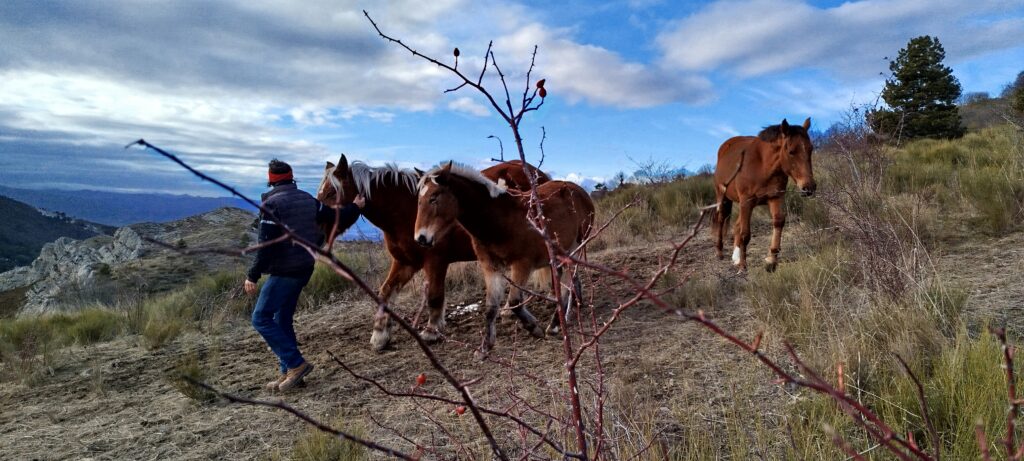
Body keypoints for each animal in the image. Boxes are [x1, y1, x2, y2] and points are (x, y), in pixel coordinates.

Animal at [316, 156, 549, 351]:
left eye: (331, 193)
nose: (317, 232)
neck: (404, 210)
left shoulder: (435, 261)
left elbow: (435, 296)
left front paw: (431, 331)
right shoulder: (404, 263)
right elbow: (385, 293)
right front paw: (380, 335)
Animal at [414, 162, 594, 358]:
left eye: (433, 198)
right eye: (419, 201)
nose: (421, 239)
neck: (500, 219)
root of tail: (579, 190)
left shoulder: (522, 264)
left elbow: (515, 302)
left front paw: (534, 328)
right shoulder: (491, 267)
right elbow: (490, 307)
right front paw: (485, 346)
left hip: (575, 248)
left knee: (568, 282)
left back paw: (555, 325)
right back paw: (561, 319)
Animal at [712, 118, 816, 272]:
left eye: (810, 149)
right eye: (791, 151)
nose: (809, 187)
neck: (763, 165)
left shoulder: (775, 198)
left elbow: (778, 221)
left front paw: (771, 260)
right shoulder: (747, 201)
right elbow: (745, 234)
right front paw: (743, 265)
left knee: (736, 225)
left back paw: (735, 257)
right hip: (723, 197)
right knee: (721, 219)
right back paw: (720, 252)